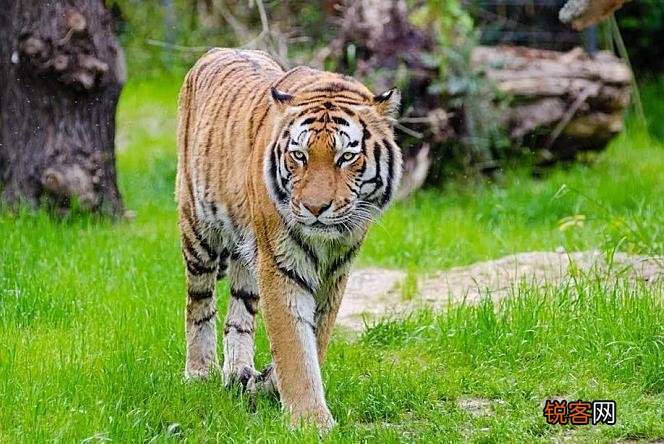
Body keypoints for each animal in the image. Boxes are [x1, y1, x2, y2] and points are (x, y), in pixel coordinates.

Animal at [176, 48, 402, 430]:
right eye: (299, 155)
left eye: (347, 157)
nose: (315, 208)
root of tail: (216, 51)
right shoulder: (282, 267)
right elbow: (295, 346)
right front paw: (311, 422)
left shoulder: (335, 273)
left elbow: (316, 339)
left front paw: (266, 384)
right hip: (198, 230)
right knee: (199, 303)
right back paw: (199, 372)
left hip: (246, 255)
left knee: (239, 314)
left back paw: (237, 372)